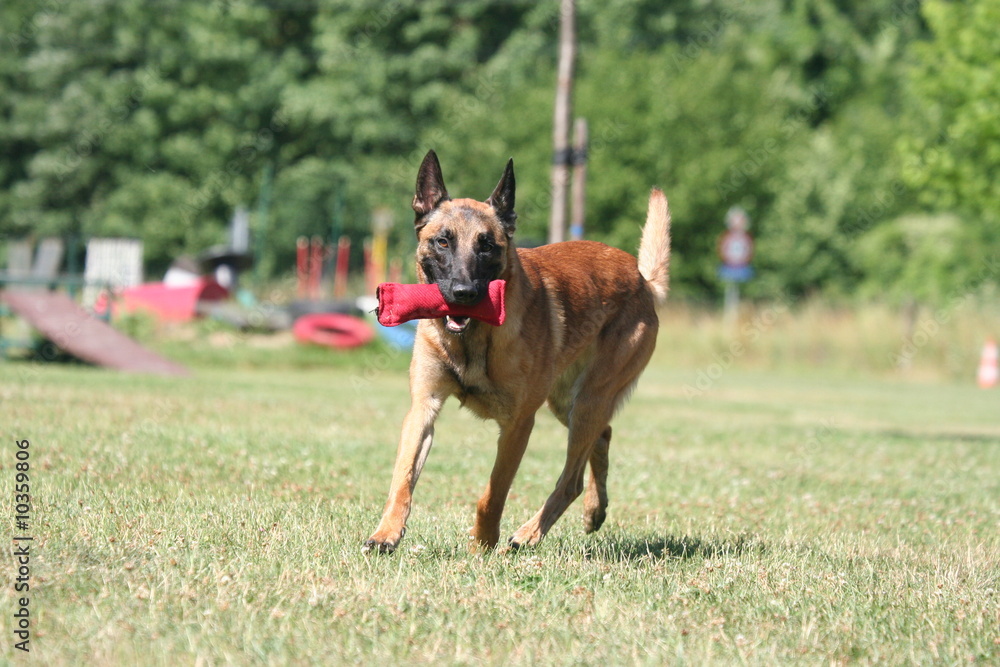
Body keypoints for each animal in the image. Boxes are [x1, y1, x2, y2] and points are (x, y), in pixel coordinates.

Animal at [364, 151, 668, 552]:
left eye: (486, 245)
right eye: (443, 242)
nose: (463, 293)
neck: (473, 340)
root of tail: (643, 281)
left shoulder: (518, 425)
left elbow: (493, 493)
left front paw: (483, 541)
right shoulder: (423, 408)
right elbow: (402, 479)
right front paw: (386, 534)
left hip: (589, 399)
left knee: (571, 477)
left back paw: (528, 534)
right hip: (566, 403)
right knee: (602, 437)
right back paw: (594, 511)